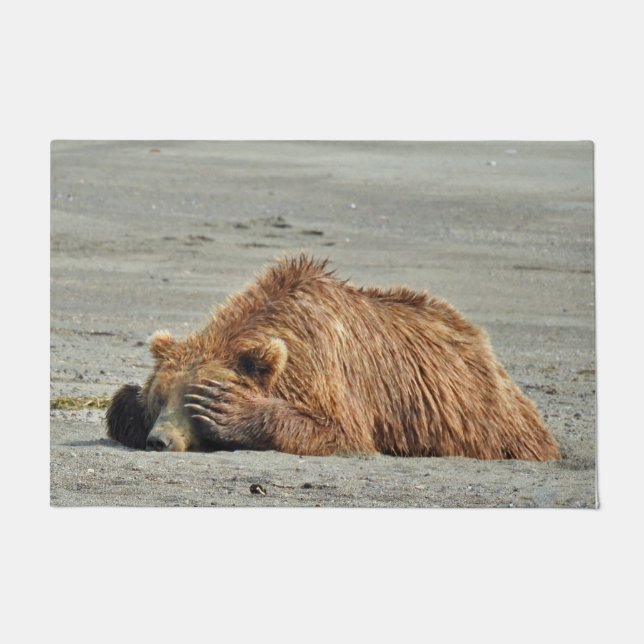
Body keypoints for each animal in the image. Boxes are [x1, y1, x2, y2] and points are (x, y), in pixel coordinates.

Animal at [106, 255, 560, 460]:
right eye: (159, 398)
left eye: (192, 401)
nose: (160, 440)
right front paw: (127, 405)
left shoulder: (327, 368)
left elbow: (340, 432)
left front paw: (228, 410)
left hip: (487, 421)